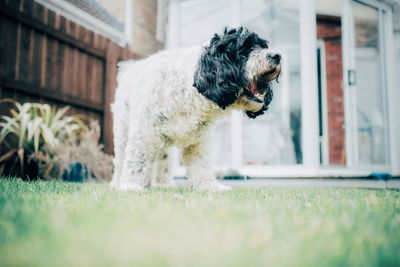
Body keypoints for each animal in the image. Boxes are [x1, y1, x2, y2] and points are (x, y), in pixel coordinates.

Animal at [109, 27, 282, 193]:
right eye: (244, 49)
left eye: (262, 46)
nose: (277, 55)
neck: (189, 87)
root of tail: (129, 67)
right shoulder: (142, 133)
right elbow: (136, 161)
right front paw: (131, 186)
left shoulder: (199, 142)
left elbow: (201, 166)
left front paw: (209, 187)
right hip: (123, 129)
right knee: (121, 158)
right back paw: (117, 183)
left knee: (162, 159)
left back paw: (162, 184)